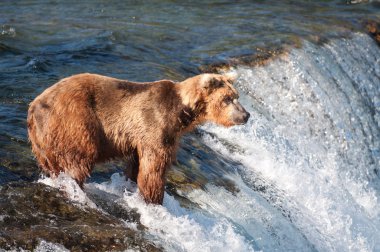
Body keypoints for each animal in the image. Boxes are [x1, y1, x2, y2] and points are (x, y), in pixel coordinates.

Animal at [28, 73, 251, 205]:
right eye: (227, 99)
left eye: (237, 96)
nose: (246, 115)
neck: (183, 111)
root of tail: (34, 106)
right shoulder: (156, 125)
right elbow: (154, 166)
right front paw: (154, 198)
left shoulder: (141, 138)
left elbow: (136, 164)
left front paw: (133, 184)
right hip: (76, 120)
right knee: (79, 157)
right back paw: (76, 185)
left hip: (42, 140)